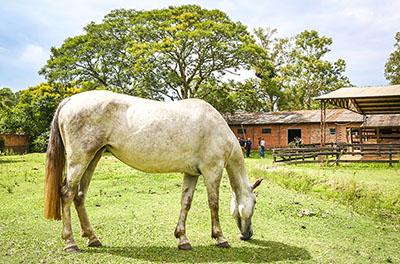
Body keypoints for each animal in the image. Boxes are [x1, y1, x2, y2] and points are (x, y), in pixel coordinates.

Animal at [44, 91, 262, 254]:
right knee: (67, 194)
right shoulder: (212, 171)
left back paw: (93, 238)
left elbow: (186, 203)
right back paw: (70, 243)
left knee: (79, 196)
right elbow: (214, 204)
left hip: (93, 158)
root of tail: (70, 100)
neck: (217, 128)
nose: (248, 234)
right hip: (79, 160)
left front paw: (182, 238)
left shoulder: (192, 174)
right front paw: (220, 238)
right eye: (255, 202)